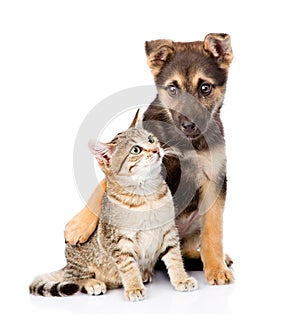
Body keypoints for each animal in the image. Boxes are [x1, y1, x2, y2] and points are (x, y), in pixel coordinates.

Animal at [29, 126, 198, 300]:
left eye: (151, 139)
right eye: (136, 150)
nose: (156, 149)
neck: (146, 195)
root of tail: (67, 265)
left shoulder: (168, 231)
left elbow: (175, 257)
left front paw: (181, 279)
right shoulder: (119, 241)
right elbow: (128, 267)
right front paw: (134, 287)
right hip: (79, 261)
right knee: (74, 278)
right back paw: (93, 284)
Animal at [65, 33, 234, 286]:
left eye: (205, 88)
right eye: (172, 89)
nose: (189, 125)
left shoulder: (214, 178)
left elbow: (213, 232)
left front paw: (216, 268)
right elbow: (104, 184)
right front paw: (79, 226)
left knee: (189, 245)